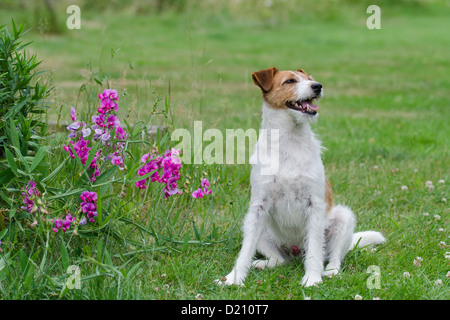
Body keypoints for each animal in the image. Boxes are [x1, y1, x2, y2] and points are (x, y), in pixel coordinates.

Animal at [217, 67, 384, 288]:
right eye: (290, 81)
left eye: (310, 79)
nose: (318, 86)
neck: (289, 141)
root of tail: (296, 250)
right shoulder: (258, 207)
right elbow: (245, 252)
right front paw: (233, 279)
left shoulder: (315, 205)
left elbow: (314, 249)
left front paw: (312, 279)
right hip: (256, 228)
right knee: (280, 259)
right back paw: (263, 263)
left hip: (343, 219)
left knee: (333, 257)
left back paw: (330, 271)